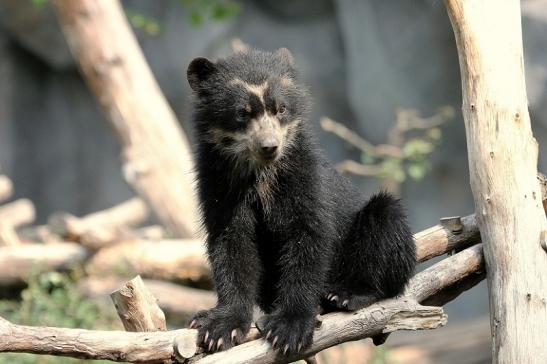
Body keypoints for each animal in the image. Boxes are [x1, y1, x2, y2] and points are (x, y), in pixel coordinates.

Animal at [186, 47, 418, 356]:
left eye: (281, 109)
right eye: (242, 113)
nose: (269, 147)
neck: (260, 173)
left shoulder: (302, 173)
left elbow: (308, 233)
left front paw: (289, 329)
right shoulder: (218, 179)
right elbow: (232, 242)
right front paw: (220, 327)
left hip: (382, 237)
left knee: (386, 222)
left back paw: (346, 294)